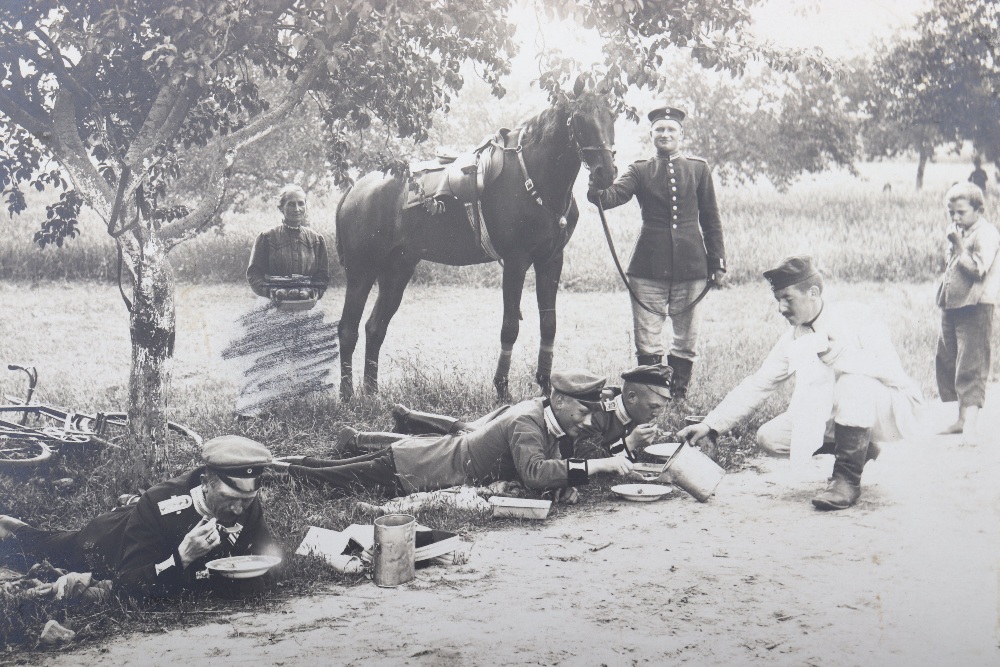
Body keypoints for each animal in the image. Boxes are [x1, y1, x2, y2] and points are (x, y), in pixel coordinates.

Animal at [336, 81, 616, 400]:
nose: (606, 173)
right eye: (579, 119)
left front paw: (545, 387)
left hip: (397, 270)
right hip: (362, 271)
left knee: (374, 328)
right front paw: (502, 390)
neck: (534, 178)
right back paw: (347, 396)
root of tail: (356, 188)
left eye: (612, 116)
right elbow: (509, 327)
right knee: (348, 329)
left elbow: (549, 325)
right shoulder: (516, 262)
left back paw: (372, 394)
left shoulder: (551, 260)